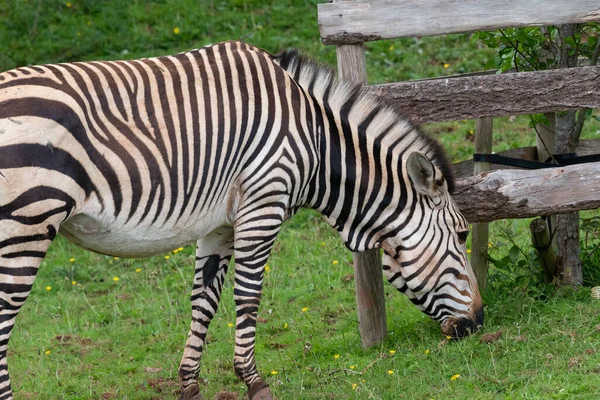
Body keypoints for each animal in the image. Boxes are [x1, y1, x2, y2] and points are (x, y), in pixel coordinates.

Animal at [0, 41, 482, 400]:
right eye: (461, 235)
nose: (478, 323)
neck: (315, 140)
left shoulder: (220, 225)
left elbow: (204, 300)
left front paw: (189, 385)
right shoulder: (263, 204)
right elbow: (248, 297)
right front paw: (254, 382)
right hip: (24, 229)